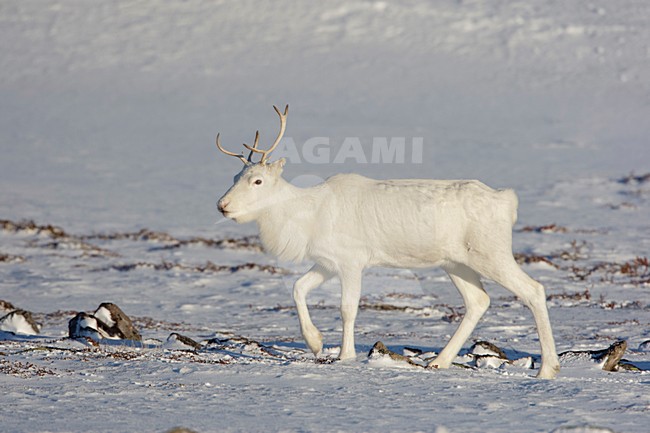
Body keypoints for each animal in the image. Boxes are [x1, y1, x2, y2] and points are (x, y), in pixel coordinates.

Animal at [215, 105, 561, 379]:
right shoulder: (327, 262)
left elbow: (348, 308)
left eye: (257, 180)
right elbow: (298, 288)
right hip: (456, 262)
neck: (304, 215)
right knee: (478, 300)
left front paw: (345, 356)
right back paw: (439, 361)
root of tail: (507, 202)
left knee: (533, 290)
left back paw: (547, 368)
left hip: (490, 252)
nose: (222, 205)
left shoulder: (352, 262)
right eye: (234, 178)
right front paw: (315, 342)